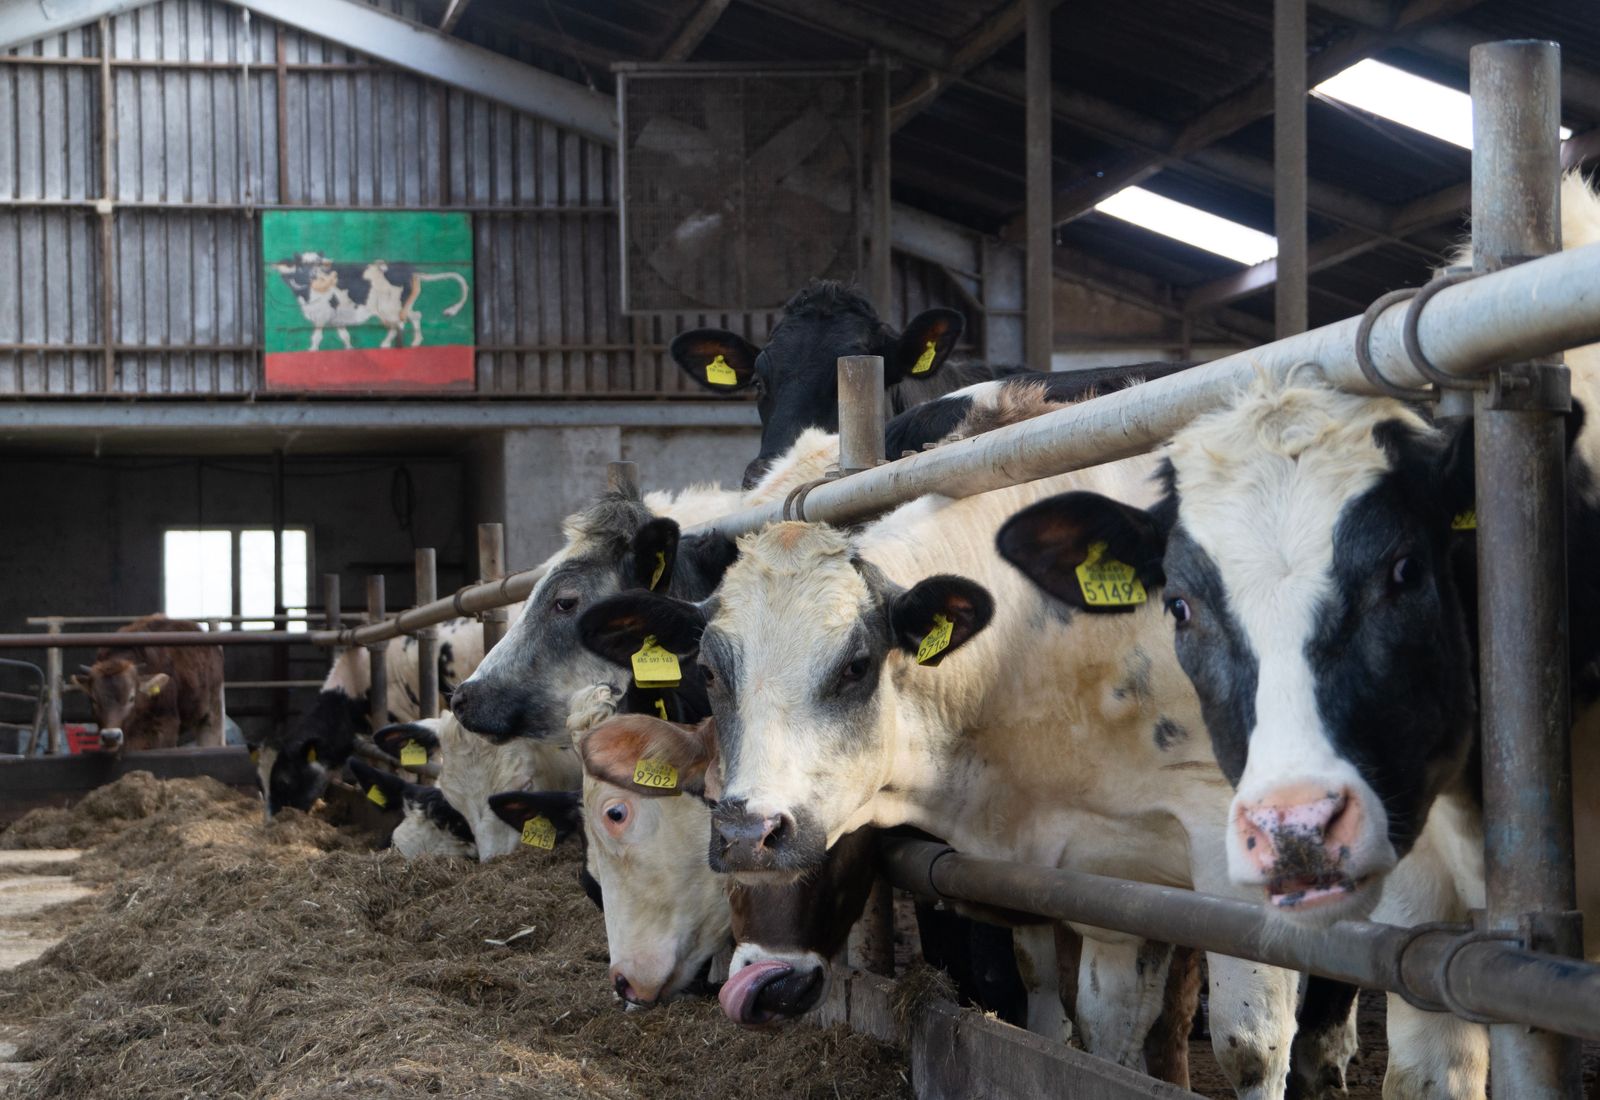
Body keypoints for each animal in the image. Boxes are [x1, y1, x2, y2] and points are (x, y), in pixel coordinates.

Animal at [270, 251, 469, 351]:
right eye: (302, 265)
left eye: (322, 264)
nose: (320, 276)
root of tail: (410, 269)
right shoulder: (336, 317)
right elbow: (345, 335)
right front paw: (350, 349)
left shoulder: (321, 315)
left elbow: (317, 336)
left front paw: (312, 351)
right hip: (401, 306)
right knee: (415, 316)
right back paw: (415, 343)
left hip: (388, 308)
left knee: (399, 324)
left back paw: (387, 345)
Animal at [576, 470, 1306, 1097]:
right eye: (709, 672)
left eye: (857, 665)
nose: (759, 987)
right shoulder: (1111, 878)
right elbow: (1106, 1032)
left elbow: (1249, 1044)